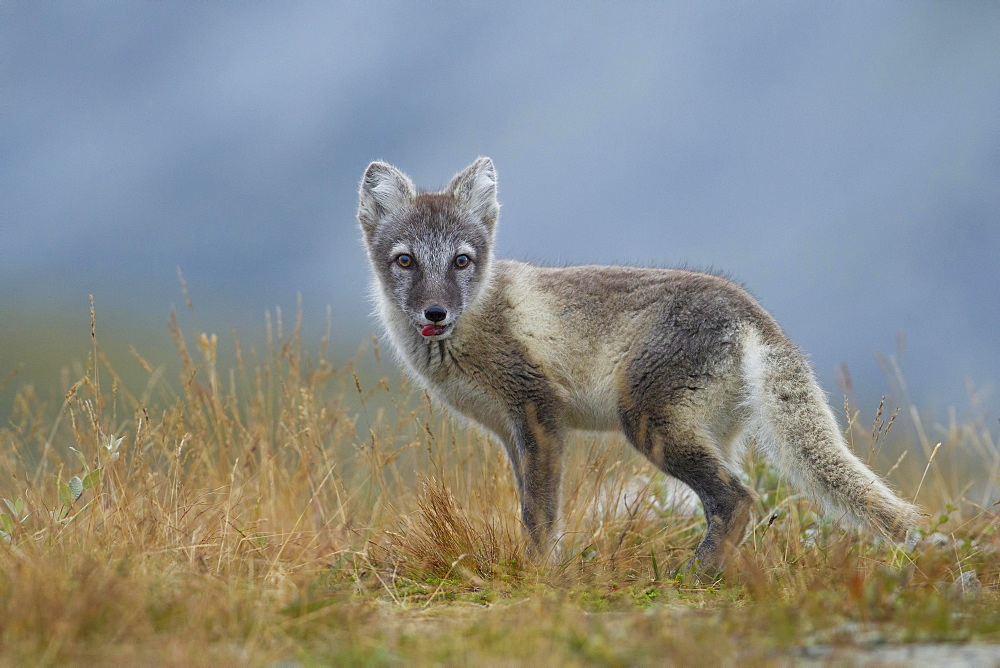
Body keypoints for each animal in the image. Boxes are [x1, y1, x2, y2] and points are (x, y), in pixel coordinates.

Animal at [356, 157, 916, 568]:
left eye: (461, 261)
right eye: (405, 261)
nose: (435, 312)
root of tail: (753, 311)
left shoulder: (539, 413)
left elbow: (540, 515)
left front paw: (538, 575)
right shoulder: (511, 432)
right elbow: (529, 507)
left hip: (648, 422)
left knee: (736, 498)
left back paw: (695, 576)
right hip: (709, 433)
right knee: (734, 499)